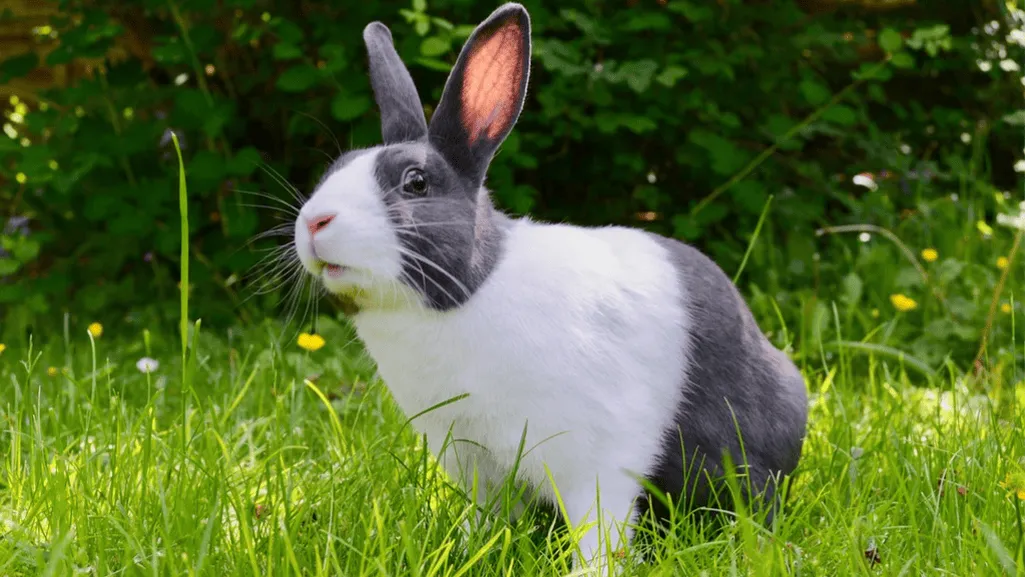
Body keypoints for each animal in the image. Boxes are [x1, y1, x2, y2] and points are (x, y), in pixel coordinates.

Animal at [293, 2, 809, 570]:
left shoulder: (596, 456)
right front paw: (468, 551)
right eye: (335, 168)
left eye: (415, 183)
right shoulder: (474, 459)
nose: (314, 221)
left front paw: (592, 572)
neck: (470, 293)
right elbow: (486, 517)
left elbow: (600, 525)